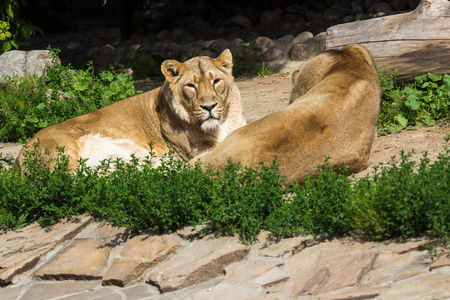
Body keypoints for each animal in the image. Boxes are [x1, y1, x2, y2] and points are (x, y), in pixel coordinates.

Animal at [14, 50, 246, 170]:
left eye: (216, 81)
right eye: (191, 86)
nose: (209, 106)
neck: (224, 121)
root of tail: (19, 157)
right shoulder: (196, 150)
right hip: (62, 153)